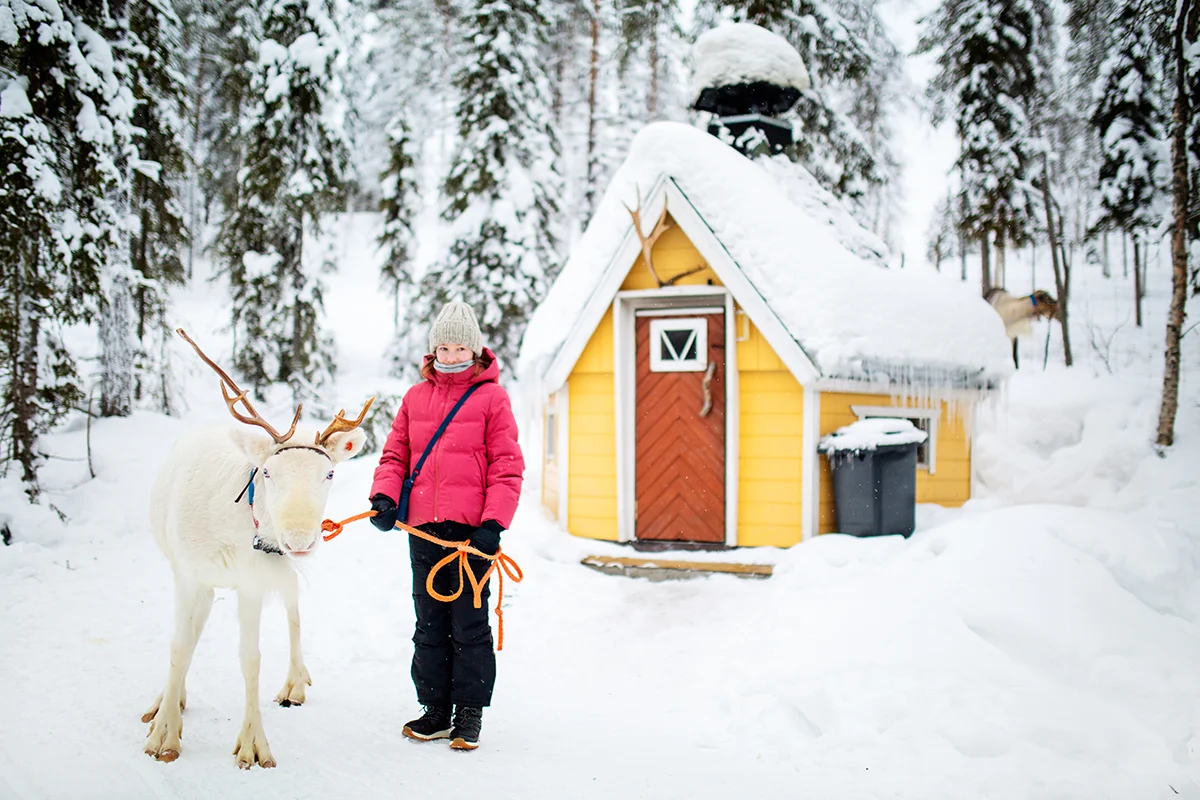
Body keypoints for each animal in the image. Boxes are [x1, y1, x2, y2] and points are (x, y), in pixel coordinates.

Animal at [141, 329, 373, 769]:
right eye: (267, 472)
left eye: (330, 473)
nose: (299, 539)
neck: (236, 528)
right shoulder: (187, 572)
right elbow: (179, 645)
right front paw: (164, 732)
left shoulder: (252, 581)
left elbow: (251, 659)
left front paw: (252, 744)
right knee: (194, 631)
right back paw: (170, 698)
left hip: (274, 573)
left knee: (293, 606)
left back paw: (294, 682)